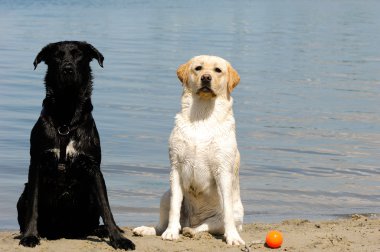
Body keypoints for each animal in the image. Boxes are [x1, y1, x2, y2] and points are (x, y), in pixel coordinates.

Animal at [17, 41, 135, 250]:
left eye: (79, 55)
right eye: (56, 56)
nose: (67, 69)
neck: (66, 113)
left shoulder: (94, 167)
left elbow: (106, 207)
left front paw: (118, 238)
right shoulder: (37, 164)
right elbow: (34, 205)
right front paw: (30, 235)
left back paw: (101, 230)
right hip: (23, 193)